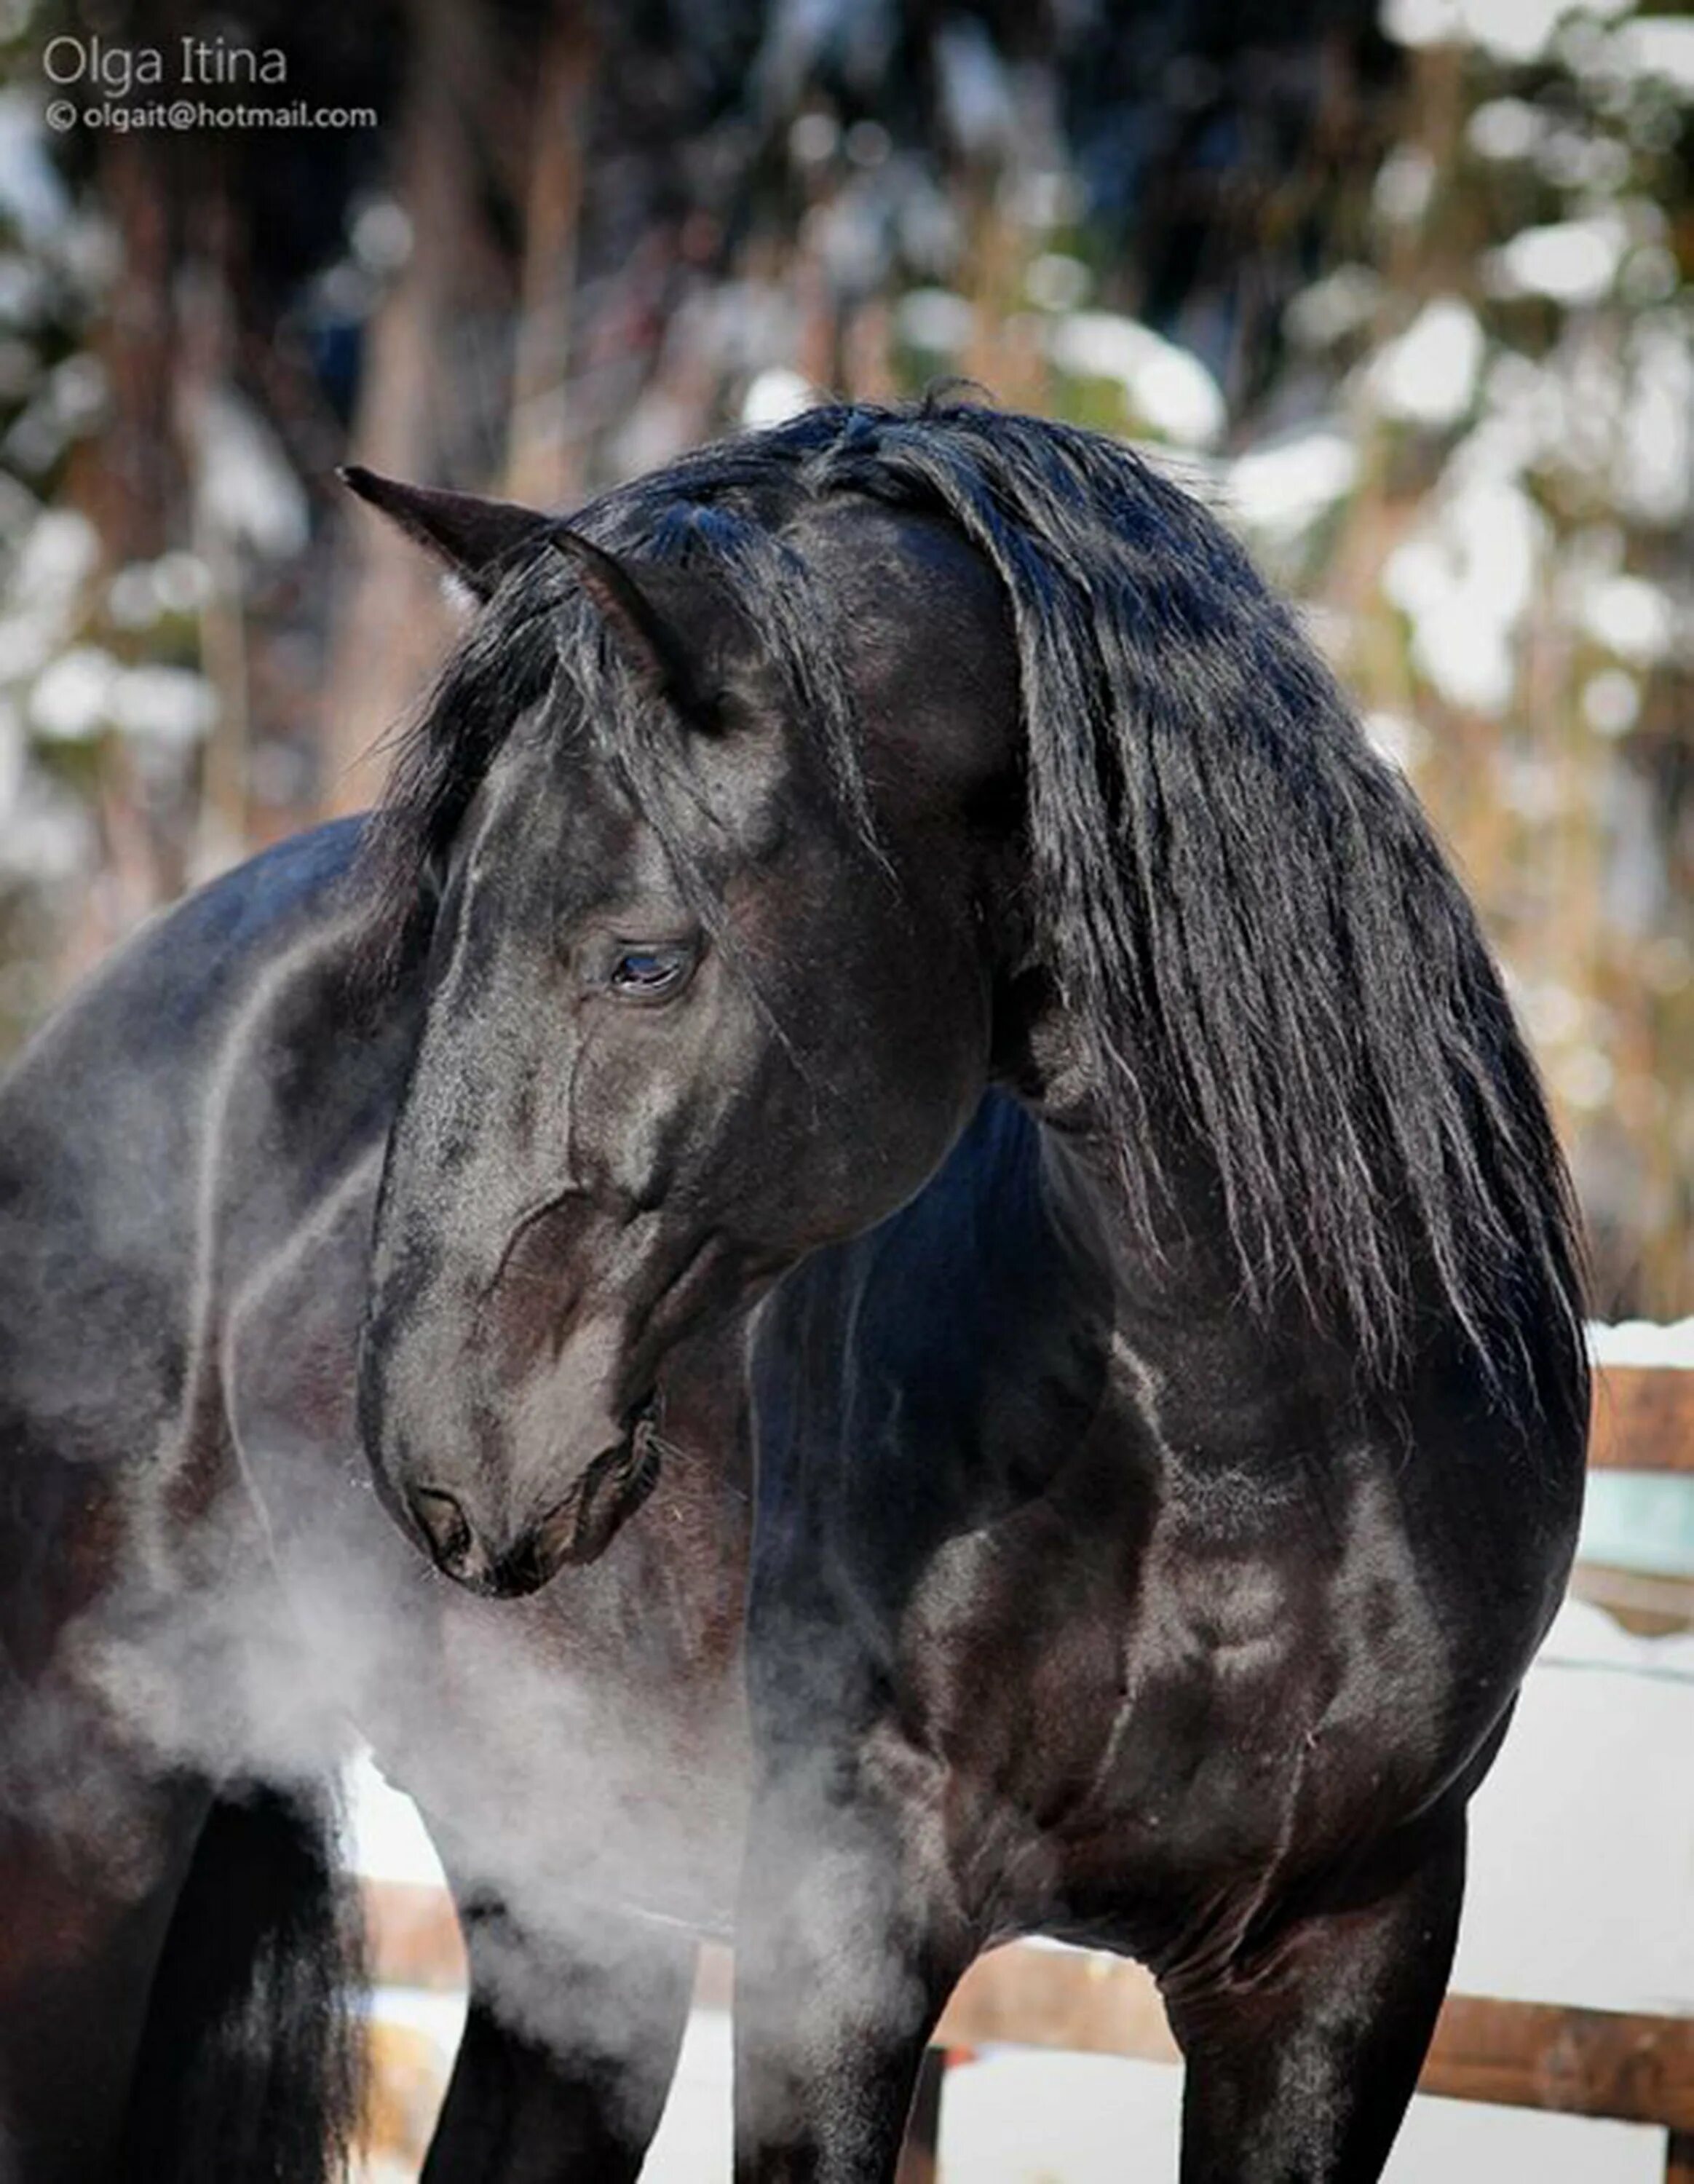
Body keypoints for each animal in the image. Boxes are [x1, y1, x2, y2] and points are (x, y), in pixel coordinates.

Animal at [0, 397, 1589, 2184]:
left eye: (643, 958)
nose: (437, 1460)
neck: (1251, 1442)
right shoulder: (839, 1936)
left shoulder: (1344, 1954)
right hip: (84, 1831)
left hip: (566, 1902)